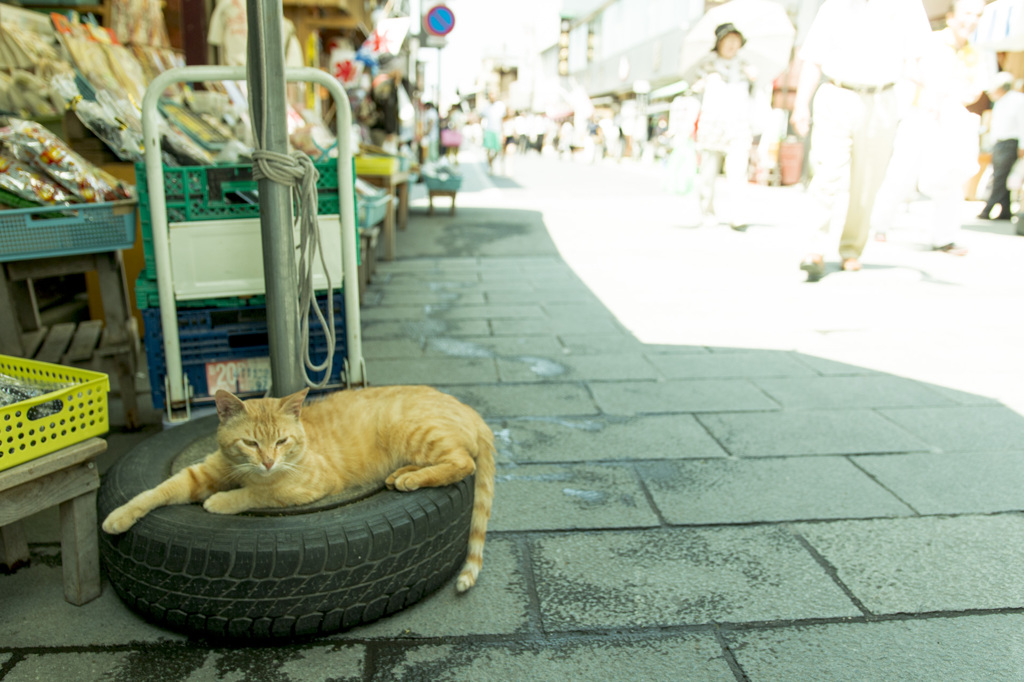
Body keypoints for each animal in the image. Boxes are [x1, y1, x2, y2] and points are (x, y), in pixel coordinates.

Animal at [100, 385, 495, 585]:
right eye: (250, 443)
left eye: (281, 441)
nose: (268, 461)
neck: (246, 470)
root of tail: (473, 411)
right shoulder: (201, 473)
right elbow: (157, 490)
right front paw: (119, 515)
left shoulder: (308, 484)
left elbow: (258, 492)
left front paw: (221, 502)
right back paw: (400, 475)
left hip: (413, 433)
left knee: (463, 462)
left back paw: (411, 478)